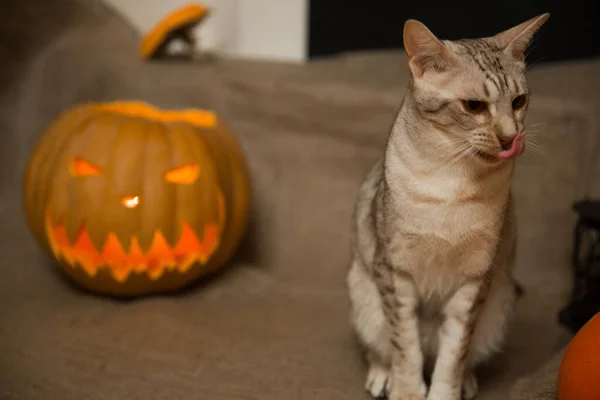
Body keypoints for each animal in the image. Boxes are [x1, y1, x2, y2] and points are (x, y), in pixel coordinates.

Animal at [346, 13, 548, 400]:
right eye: (474, 106)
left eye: (518, 101)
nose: (510, 137)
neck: (453, 183)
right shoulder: (394, 271)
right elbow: (405, 347)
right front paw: (407, 390)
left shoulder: (475, 279)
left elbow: (454, 353)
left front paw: (445, 391)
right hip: (363, 294)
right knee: (381, 348)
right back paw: (382, 375)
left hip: (498, 309)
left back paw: (467, 381)